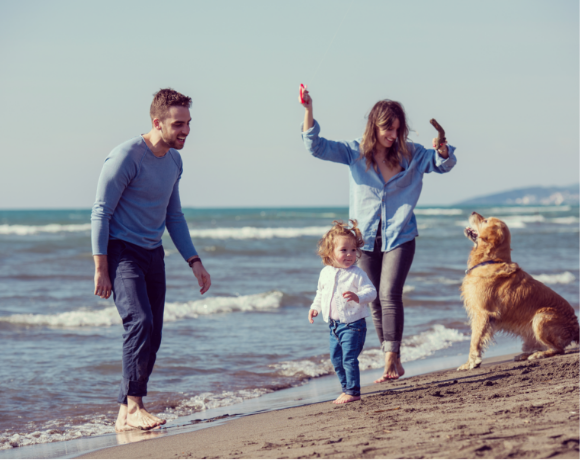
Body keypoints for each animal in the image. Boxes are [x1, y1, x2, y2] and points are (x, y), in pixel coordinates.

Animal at [458, 212, 580, 370]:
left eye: (485, 221)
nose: (472, 212)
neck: (490, 260)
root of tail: (576, 327)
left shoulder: (482, 313)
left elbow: (474, 341)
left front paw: (471, 363)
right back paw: (525, 355)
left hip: (541, 317)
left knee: (559, 349)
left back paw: (539, 354)